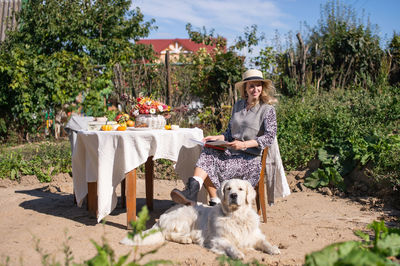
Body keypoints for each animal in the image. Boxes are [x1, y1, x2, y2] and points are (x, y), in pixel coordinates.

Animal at [120, 178, 280, 258]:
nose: (233, 195)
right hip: (186, 218)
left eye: (240, 189)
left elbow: (264, 242)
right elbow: (230, 246)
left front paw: (273, 249)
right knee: (167, 234)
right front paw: (238, 254)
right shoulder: (218, 239)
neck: (236, 217)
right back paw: (184, 239)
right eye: (228, 189)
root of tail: (162, 217)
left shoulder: (254, 236)